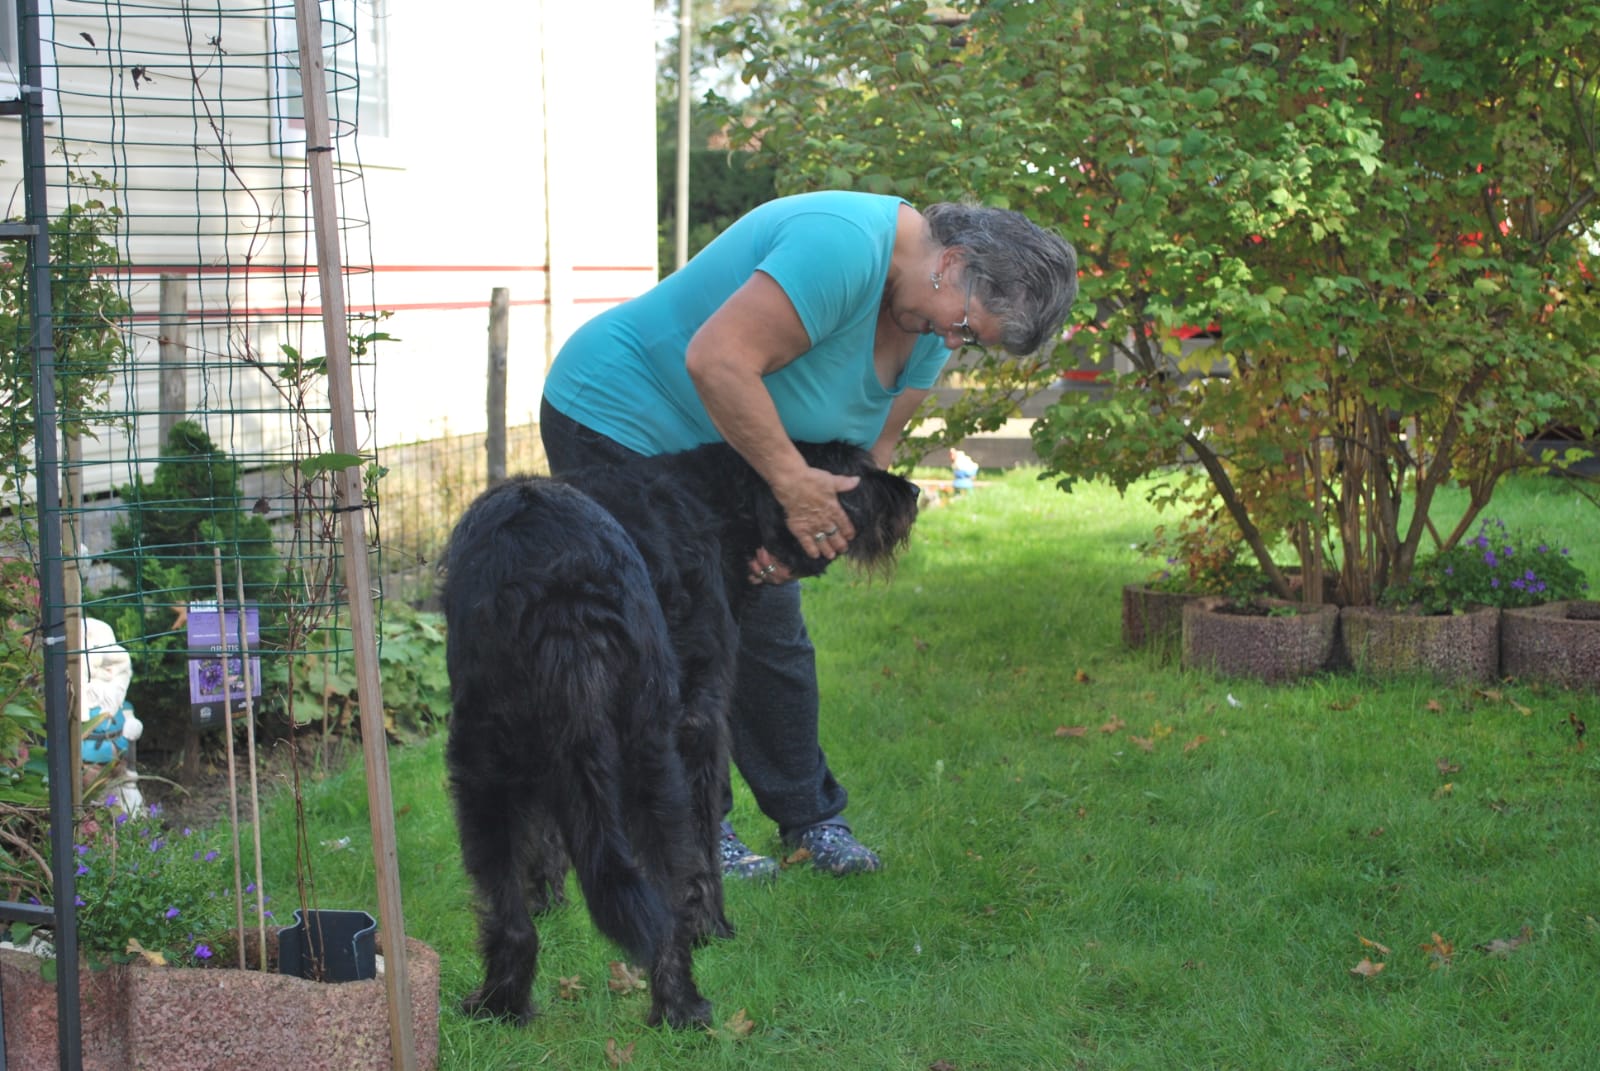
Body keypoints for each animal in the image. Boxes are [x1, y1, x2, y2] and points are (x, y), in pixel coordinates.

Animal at [441, 439, 920, 1029]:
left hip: (507, 765)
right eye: (851, 469)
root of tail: (562, 585)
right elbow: (703, 849)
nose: (911, 491)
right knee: (653, 896)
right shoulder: (701, 724)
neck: (715, 499)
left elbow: (550, 833)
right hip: (614, 756)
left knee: (514, 916)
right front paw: (713, 928)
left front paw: (548, 901)